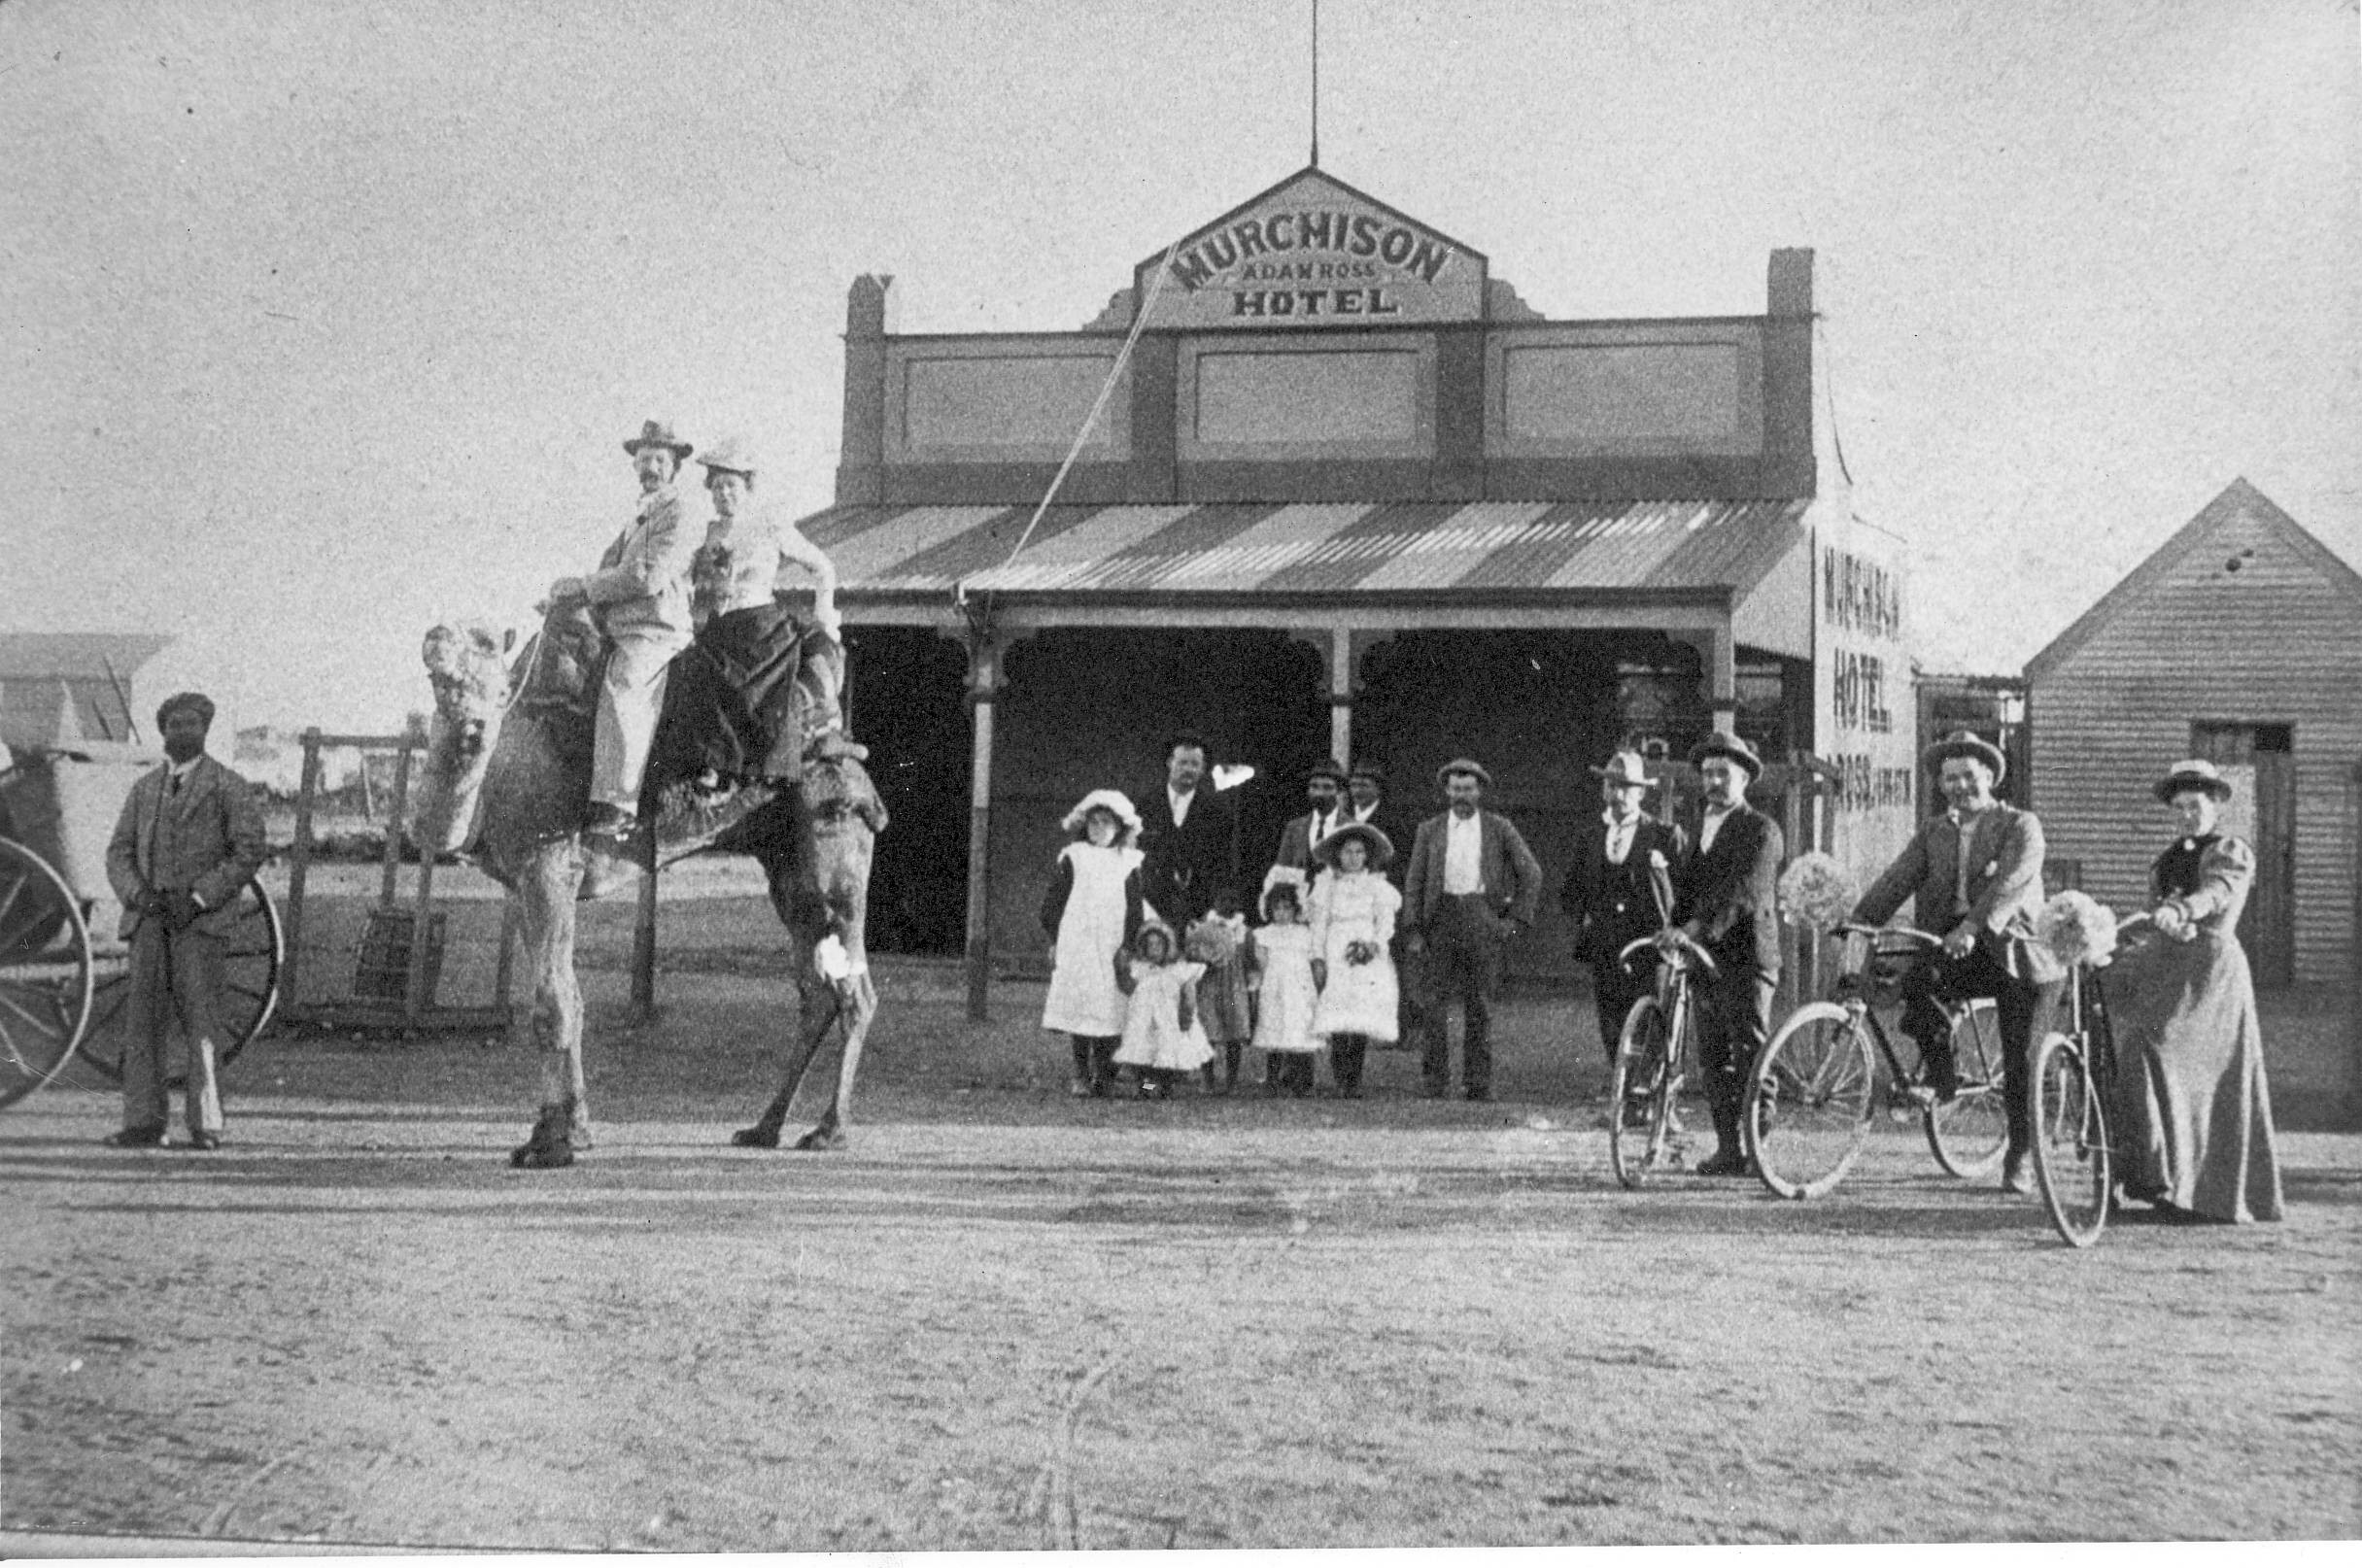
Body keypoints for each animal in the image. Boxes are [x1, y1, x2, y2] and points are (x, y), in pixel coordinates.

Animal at [406, 604, 888, 1171]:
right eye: (440, 681)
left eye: (502, 689)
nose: (473, 733)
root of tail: (848, 754)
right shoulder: (524, 881)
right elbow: (570, 996)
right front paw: (572, 1131)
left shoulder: (548, 865)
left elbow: (552, 1005)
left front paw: (550, 1144)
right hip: (785, 867)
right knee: (815, 991)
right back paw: (764, 1127)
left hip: (829, 855)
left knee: (854, 991)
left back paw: (829, 1130)